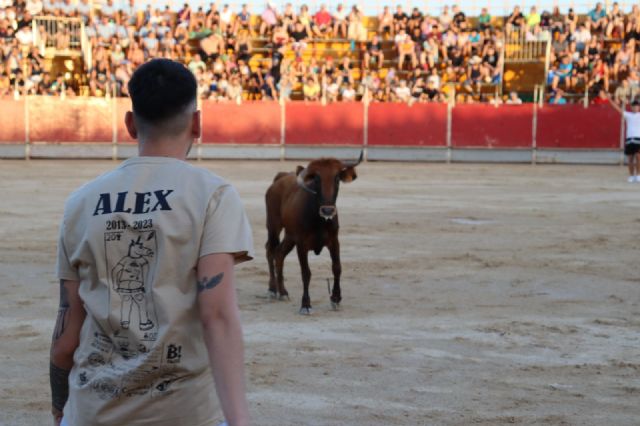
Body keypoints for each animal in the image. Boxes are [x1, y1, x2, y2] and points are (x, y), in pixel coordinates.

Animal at [264, 152, 362, 312]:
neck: (319, 221)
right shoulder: (301, 244)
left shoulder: (334, 241)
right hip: (273, 226)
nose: (327, 210)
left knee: (279, 254)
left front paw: (336, 298)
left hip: (290, 236)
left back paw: (283, 292)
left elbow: (337, 267)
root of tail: (280, 178)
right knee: (270, 251)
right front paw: (306, 304)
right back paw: (272, 289)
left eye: (337, 178)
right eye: (316, 178)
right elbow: (306, 272)